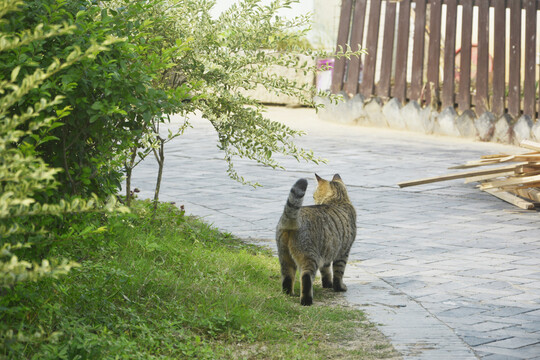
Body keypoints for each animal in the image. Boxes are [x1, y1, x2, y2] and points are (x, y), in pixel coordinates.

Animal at [276, 174, 356, 306]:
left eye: (314, 195)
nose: (314, 200)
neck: (338, 199)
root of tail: (295, 218)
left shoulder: (327, 251)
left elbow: (326, 271)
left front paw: (328, 284)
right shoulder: (343, 252)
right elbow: (338, 273)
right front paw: (339, 287)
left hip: (284, 256)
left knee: (287, 277)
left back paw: (288, 294)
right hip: (310, 257)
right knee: (306, 278)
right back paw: (306, 301)